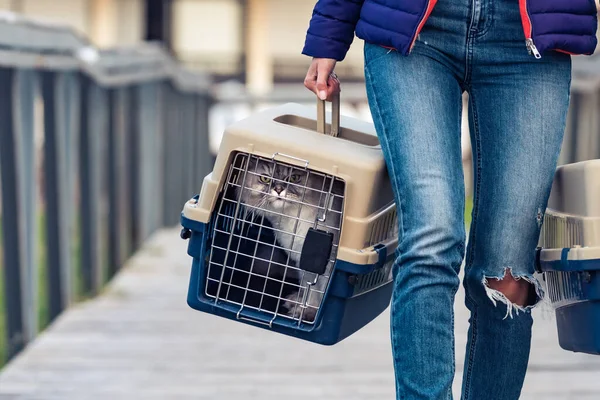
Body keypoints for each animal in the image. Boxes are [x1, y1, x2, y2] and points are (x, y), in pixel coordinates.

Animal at [233, 156, 340, 322]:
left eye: (294, 178)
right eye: (265, 179)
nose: (278, 189)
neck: (292, 219)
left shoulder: (327, 263)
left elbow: (321, 292)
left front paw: (311, 315)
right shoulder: (304, 260)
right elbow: (310, 289)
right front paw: (304, 308)